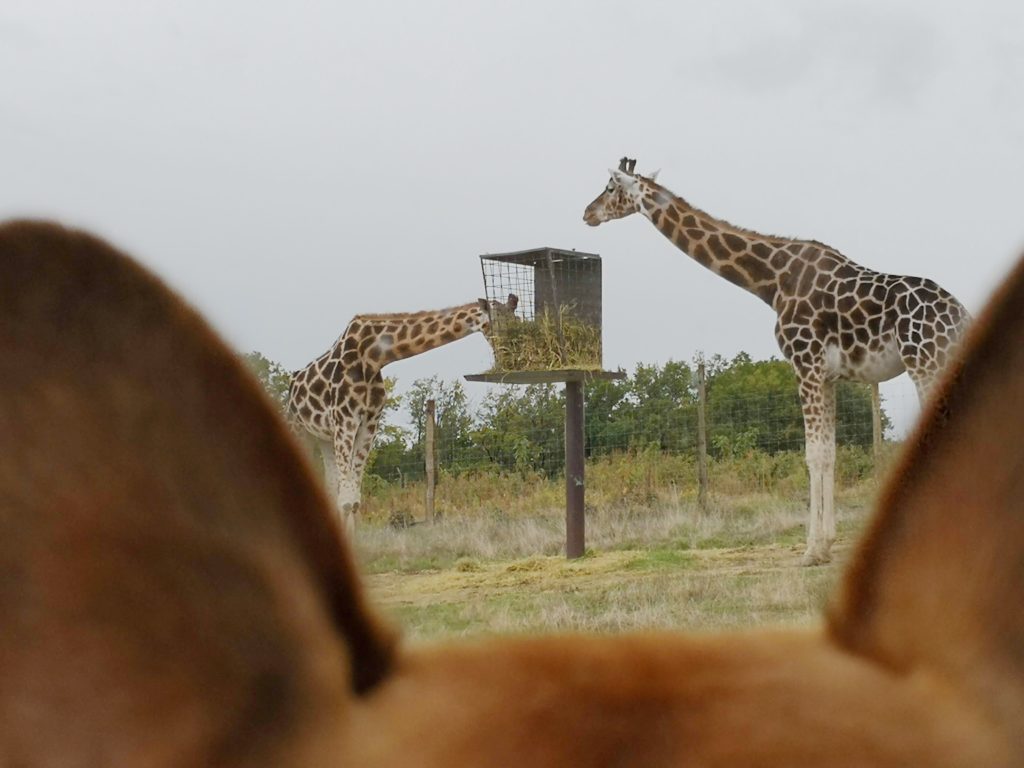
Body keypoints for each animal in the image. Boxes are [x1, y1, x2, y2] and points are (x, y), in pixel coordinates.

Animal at [585, 157, 966, 565]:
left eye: (610, 187)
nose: (587, 213)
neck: (772, 282)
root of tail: (960, 313)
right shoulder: (827, 376)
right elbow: (829, 453)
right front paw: (826, 543)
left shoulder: (805, 363)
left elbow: (813, 455)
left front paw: (812, 550)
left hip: (925, 362)